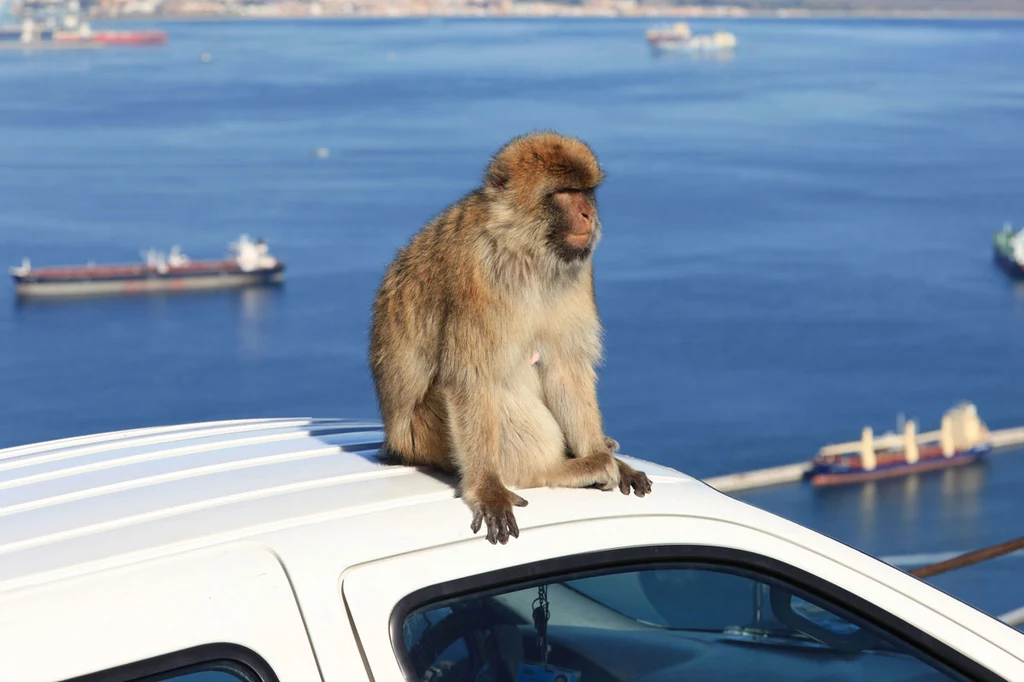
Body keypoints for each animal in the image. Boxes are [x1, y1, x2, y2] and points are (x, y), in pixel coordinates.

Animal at [368, 130, 651, 544]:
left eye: (586, 191)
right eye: (565, 192)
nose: (589, 214)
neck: (523, 249)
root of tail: (395, 445)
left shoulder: (576, 271)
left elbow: (565, 368)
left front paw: (605, 455)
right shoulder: (476, 276)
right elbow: (470, 379)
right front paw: (488, 487)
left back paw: (598, 455)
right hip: (424, 438)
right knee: (492, 386)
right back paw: (556, 470)